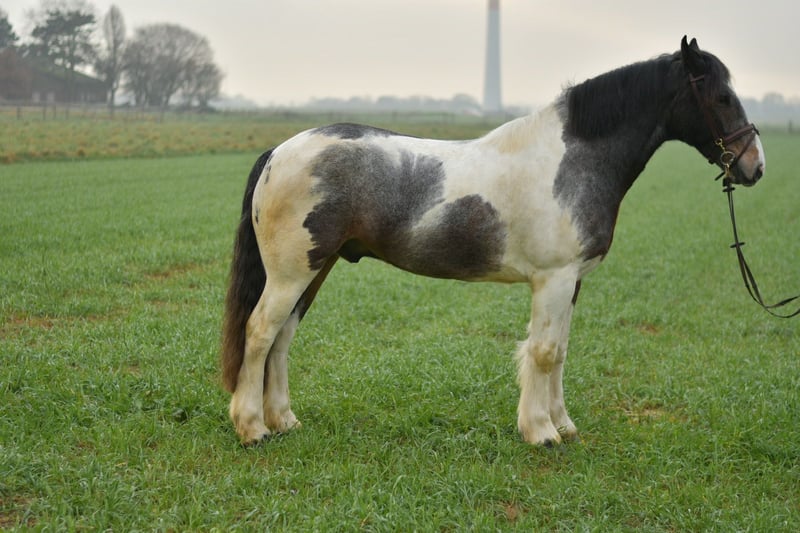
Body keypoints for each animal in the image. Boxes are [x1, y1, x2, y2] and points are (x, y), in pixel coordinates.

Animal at [221, 37, 765, 446]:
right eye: (720, 96)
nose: (754, 165)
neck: (572, 161)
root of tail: (279, 151)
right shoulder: (552, 280)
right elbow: (542, 352)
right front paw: (541, 432)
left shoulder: (572, 282)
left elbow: (560, 350)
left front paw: (564, 425)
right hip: (291, 273)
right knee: (260, 332)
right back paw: (252, 429)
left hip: (317, 268)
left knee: (283, 338)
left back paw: (284, 421)